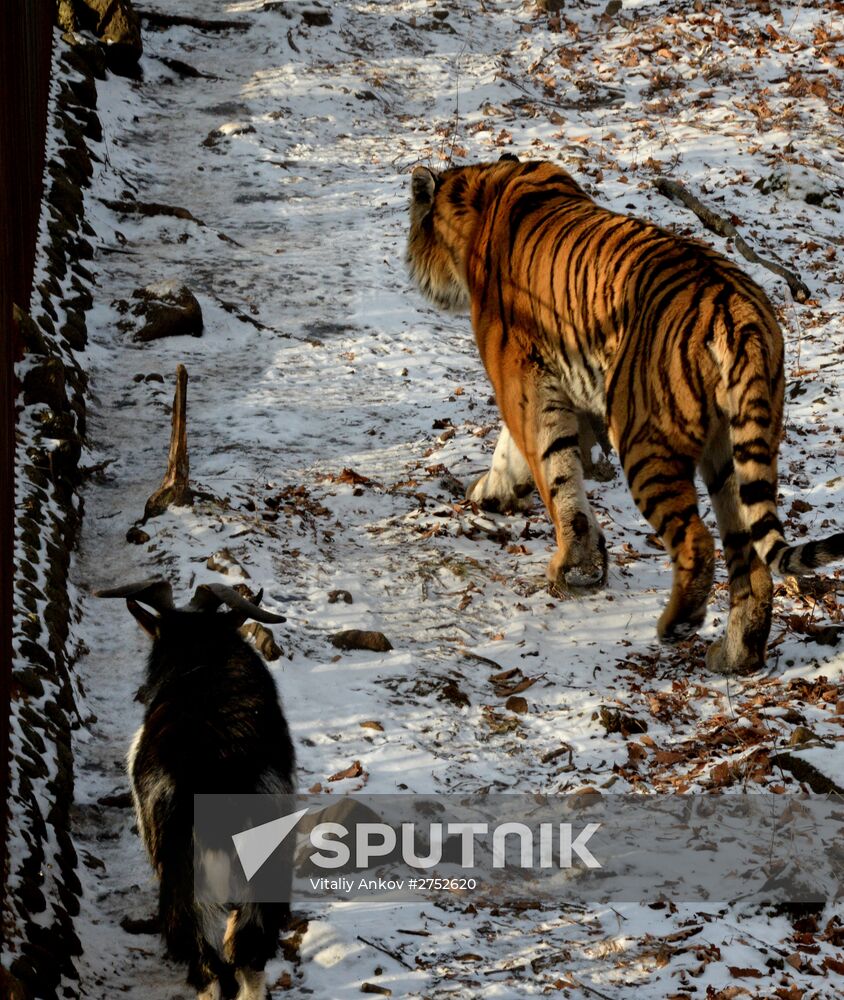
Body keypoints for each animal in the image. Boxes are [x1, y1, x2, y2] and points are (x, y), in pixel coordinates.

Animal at [405, 154, 844, 675]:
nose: (409, 265)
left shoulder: (521, 380)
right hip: (734, 450)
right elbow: (518, 453)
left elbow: (552, 471)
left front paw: (573, 566)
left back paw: (677, 625)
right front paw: (494, 493)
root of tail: (737, 309)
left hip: (643, 441)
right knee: (751, 562)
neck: (483, 191)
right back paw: (736, 655)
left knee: (696, 541)